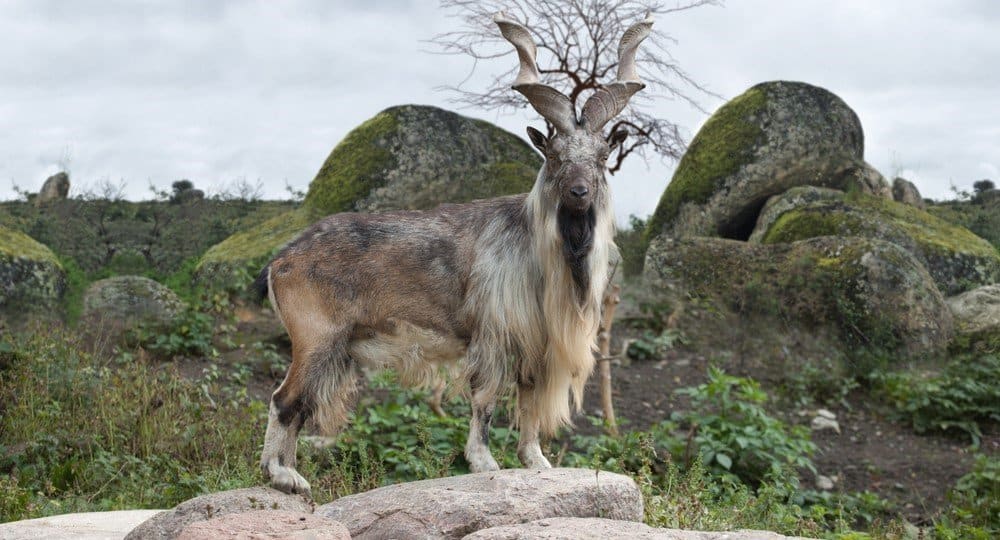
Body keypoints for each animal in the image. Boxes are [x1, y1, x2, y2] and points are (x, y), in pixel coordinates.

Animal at [254, 12, 652, 496]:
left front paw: (536, 462)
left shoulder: (535, 348)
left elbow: (529, 404)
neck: (540, 255)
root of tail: (280, 262)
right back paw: (280, 475)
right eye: (555, 155)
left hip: (332, 349)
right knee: (283, 400)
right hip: (316, 339)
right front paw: (484, 463)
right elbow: (485, 399)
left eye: (601, 155)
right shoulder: (494, 336)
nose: (579, 192)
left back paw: (294, 478)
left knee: (299, 406)